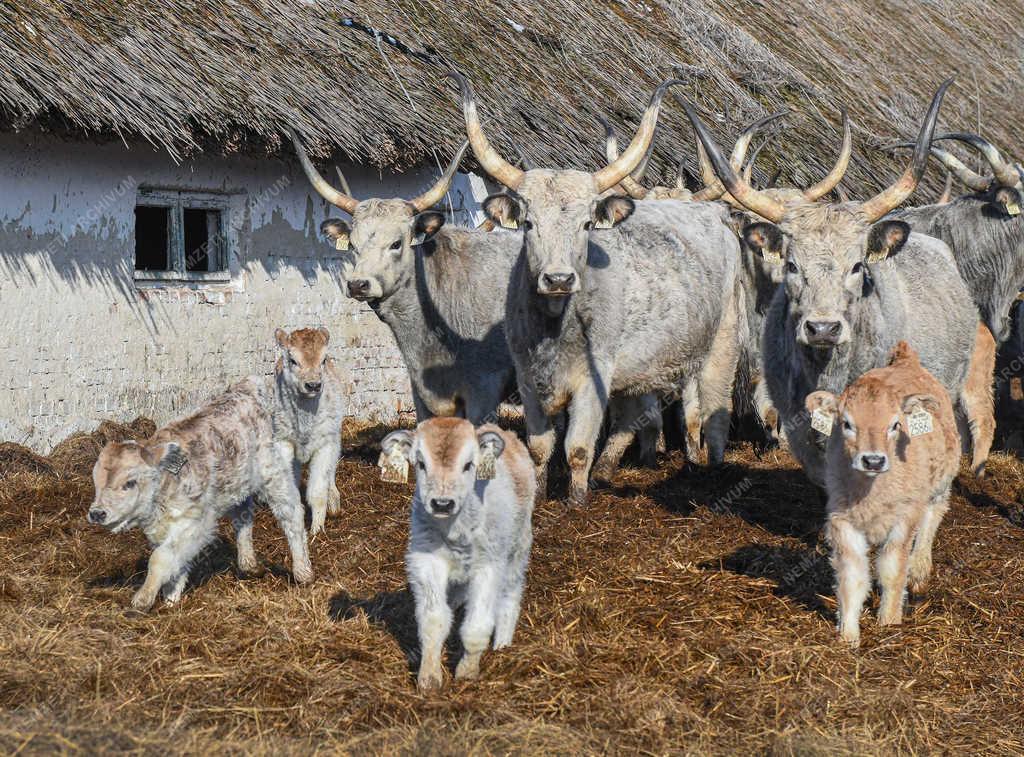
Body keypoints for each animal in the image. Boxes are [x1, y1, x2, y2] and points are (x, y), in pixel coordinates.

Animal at [86, 376, 311, 614]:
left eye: (129, 483)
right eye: (96, 481)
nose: (97, 513)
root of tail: (247, 386)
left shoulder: (195, 524)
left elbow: (160, 559)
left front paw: (143, 599)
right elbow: (174, 563)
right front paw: (171, 599)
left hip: (275, 473)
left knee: (292, 515)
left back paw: (303, 572)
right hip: (239, 484)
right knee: (243, 519)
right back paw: (248, 564)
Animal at [272, 327, 348, 536]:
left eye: (323, 359)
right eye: (293, 360)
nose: (313, 385)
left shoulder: (325, 445)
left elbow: (317, 491)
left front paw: (317, 530)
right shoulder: (283, 443)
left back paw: (334, 501)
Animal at [385, 417, 536, 696]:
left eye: (468, 465)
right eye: (421, 463)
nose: (442, 504)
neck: (456, 531)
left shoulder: (489, 567)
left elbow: (477, 626)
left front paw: (467, 673)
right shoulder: (425, 561)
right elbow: (433, 621)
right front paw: (429, 678)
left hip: (518, 547)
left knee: (510, 595)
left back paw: (503, 644)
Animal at [806, 344, 958, 647]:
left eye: (895, 425)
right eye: (846, 423)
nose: (873, 460)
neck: (871, 492)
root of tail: (906, 359)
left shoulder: (904, 518)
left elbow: (892, 569)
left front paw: (889, 622)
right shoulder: (842, 519)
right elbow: (852, 577)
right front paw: (848, 635)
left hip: (940, 486)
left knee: (932, 518)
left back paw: (919, 570)